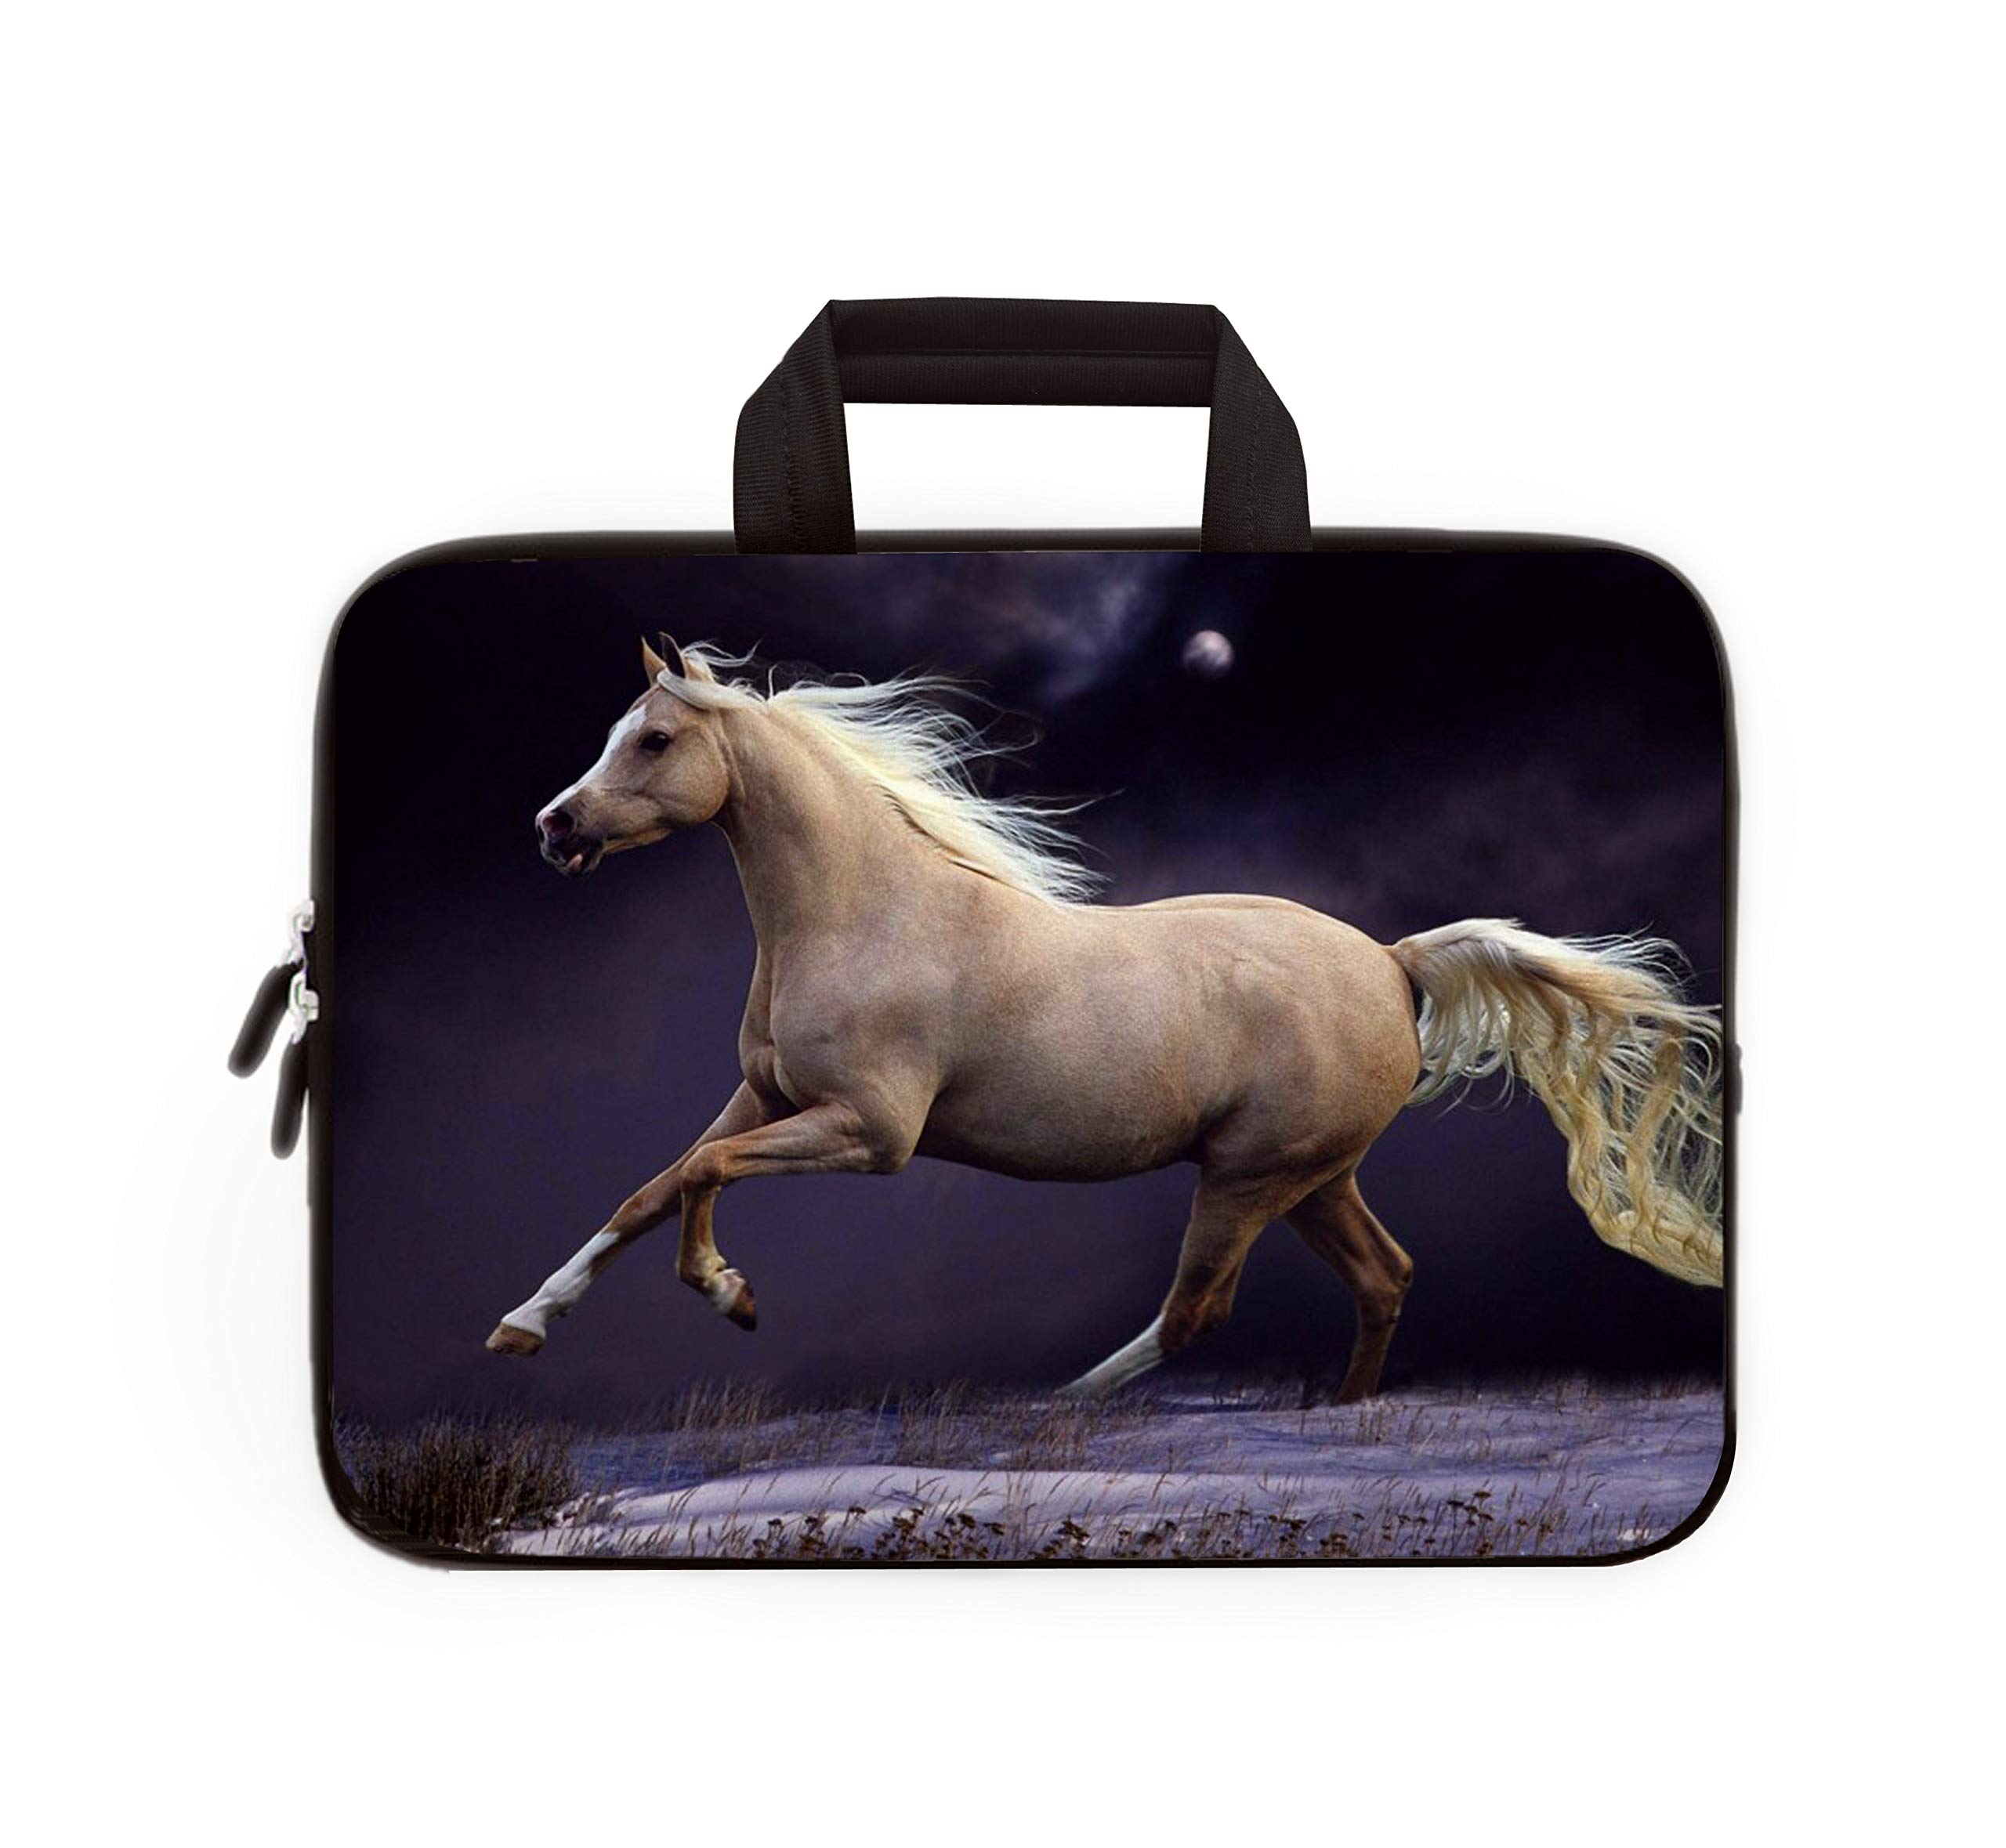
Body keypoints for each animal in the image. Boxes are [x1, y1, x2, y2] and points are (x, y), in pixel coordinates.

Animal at [486, 637, 1723, 1402]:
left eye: (653, 739)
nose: (553, 827)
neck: (864, 912)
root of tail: (1390, 960)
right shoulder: (765, 1096)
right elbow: (649, 1189)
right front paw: (523, 1324)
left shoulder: (870, 1133)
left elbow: (699, 1180)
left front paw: (731, 1294)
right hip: (1314, 1174)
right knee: (1384, 1277)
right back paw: (1342, 1411)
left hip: (1250, 1175)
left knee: (1196, 1313)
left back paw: (1050, 1409)